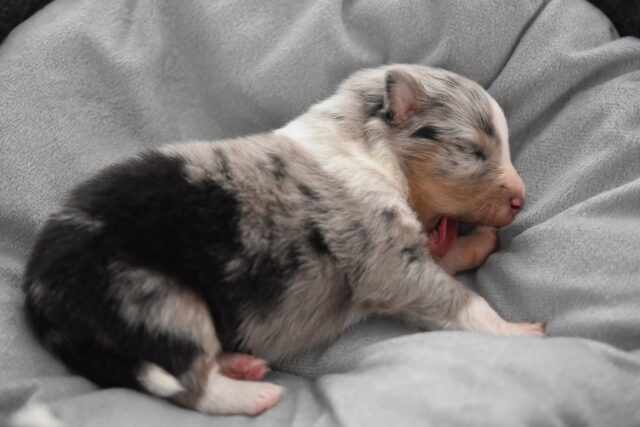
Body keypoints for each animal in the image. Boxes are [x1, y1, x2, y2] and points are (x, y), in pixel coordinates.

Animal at [25, 65, 544, 416]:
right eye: (472, 150)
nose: (522, 200)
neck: (369, 149)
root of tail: (40, 299)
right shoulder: (388, 264)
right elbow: (463, 301)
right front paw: (521, 333)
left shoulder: (403, 251)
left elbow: (444, 255)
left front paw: (479, 243)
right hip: (160, 301)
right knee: (193, 386)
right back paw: (256, 391)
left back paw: (241, 364)